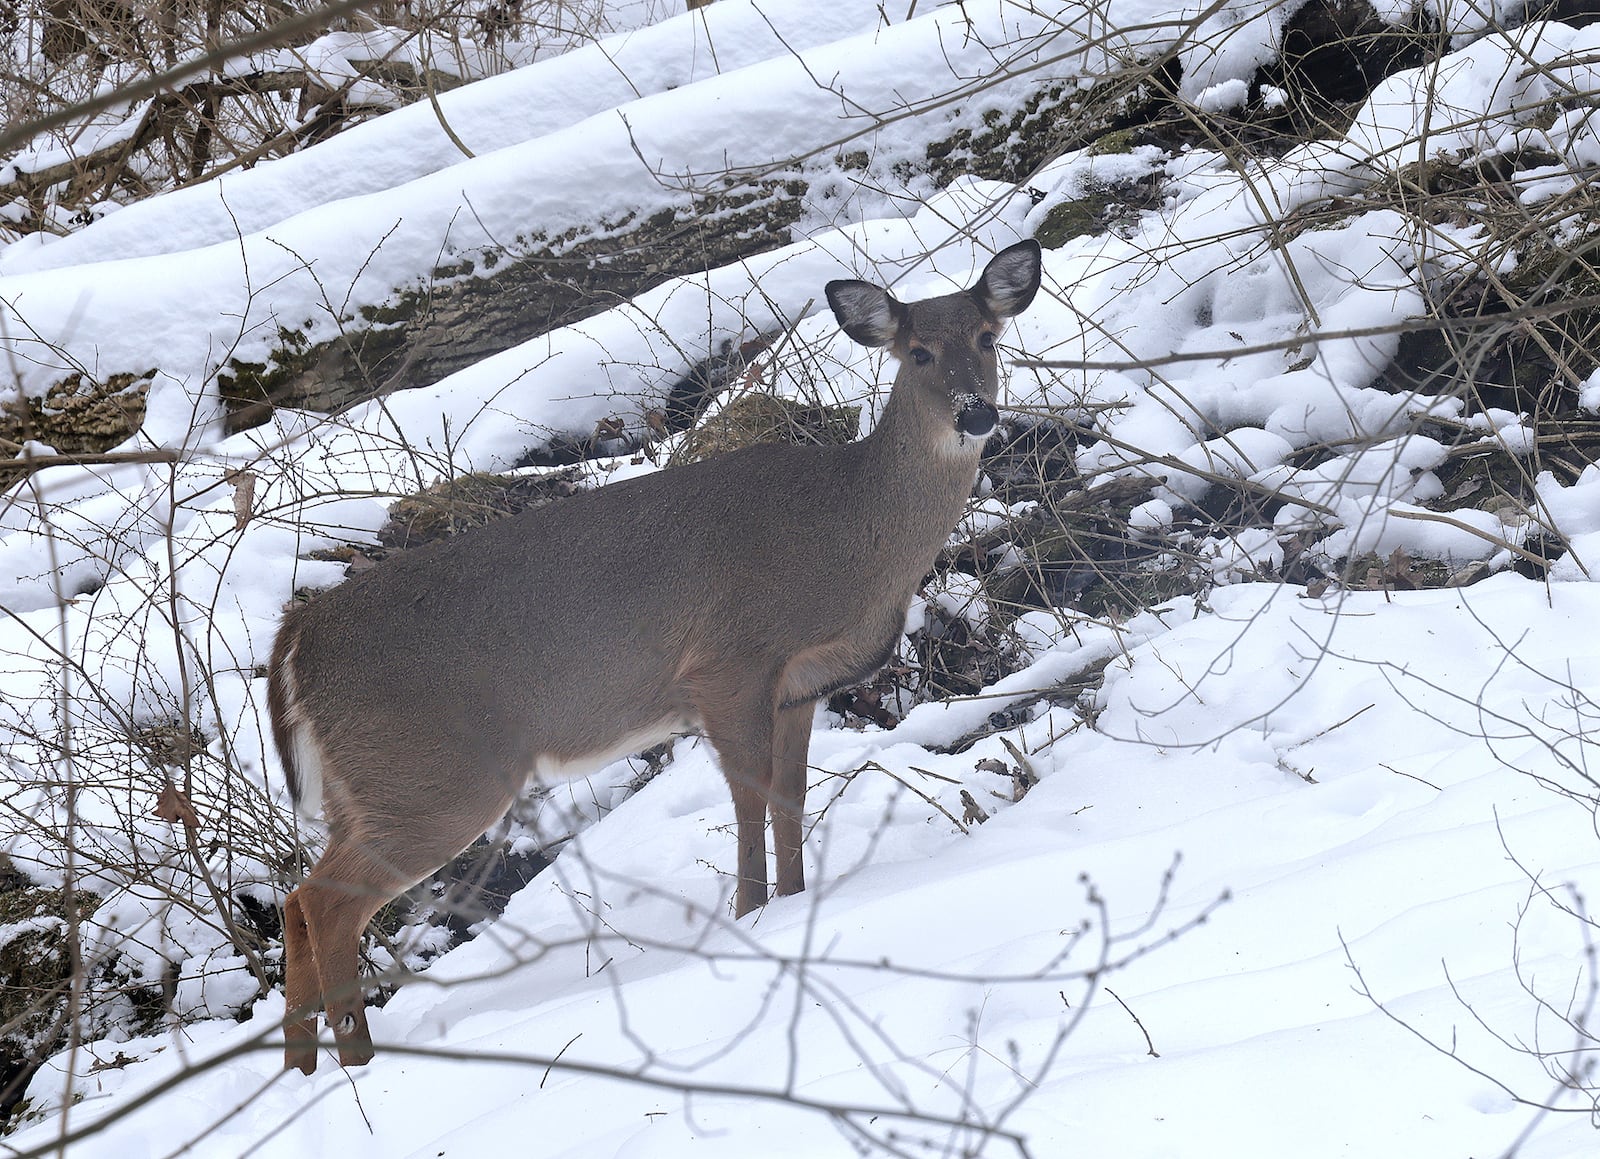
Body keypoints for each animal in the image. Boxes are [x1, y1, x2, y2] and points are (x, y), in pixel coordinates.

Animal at [268, 240, 1043, 1075]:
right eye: (918, 350)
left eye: (988, 338)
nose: (976, 411)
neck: (848, 532)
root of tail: (297, 639)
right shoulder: (729, 661)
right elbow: (749, 797)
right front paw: (751, 914)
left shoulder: (800, 685)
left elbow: (790, 797)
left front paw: (794, 902)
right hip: (433, 774)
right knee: (326, 901)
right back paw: (357, 1059)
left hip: (367, 785)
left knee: (296, 900)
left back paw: (299, 1068)